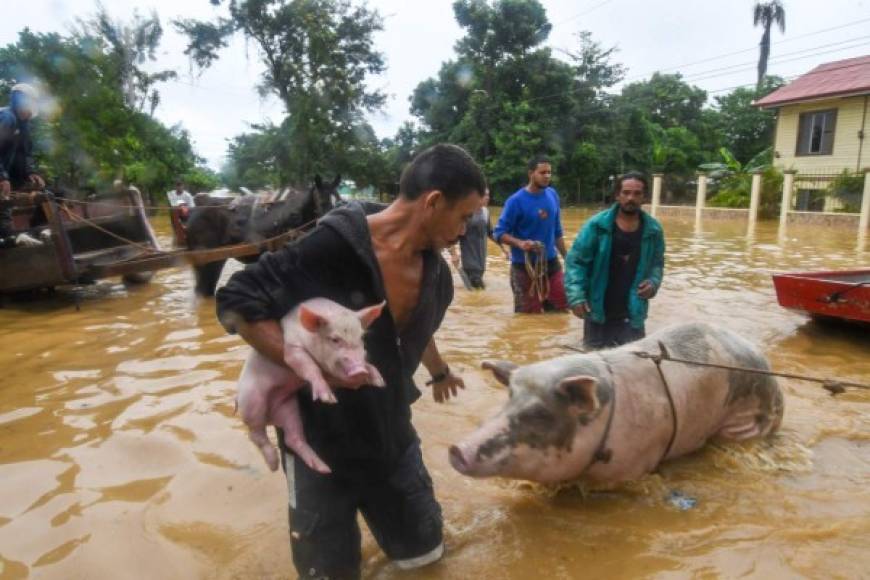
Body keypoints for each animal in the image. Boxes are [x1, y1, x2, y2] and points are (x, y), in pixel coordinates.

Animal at [240, 300, 386, 476]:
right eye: (335, 339)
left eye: (362, 337)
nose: (359, 370)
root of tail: (271, 417)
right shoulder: (292, 349)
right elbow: (310, 367)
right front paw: (328, 399)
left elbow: (369, 363)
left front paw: (380, 382)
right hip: (251, 401)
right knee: (255, 433)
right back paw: (274, 466)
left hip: (288, 407)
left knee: (292, 438)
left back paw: (324, 469)